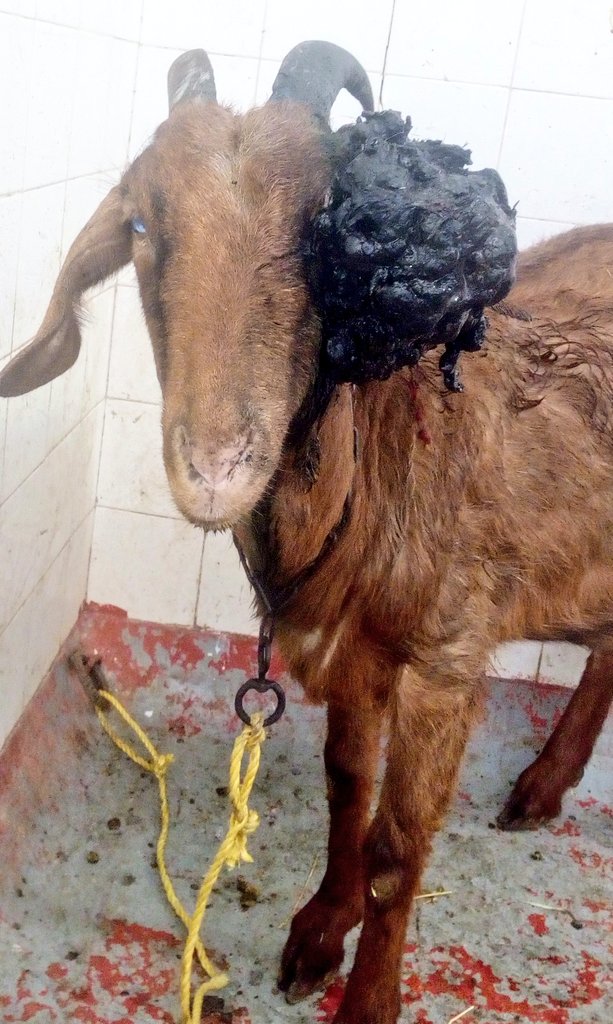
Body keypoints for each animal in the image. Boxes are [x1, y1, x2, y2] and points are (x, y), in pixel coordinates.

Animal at [1, 42, 612, 1024]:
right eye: (140, 222)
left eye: (317, 227)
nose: (216, 466)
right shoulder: (352, 654)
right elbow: (344, 785)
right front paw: (319, 931)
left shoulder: (445, 658)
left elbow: (398, 850)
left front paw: (369, 998)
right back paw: (546, 785)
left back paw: (540, 782)